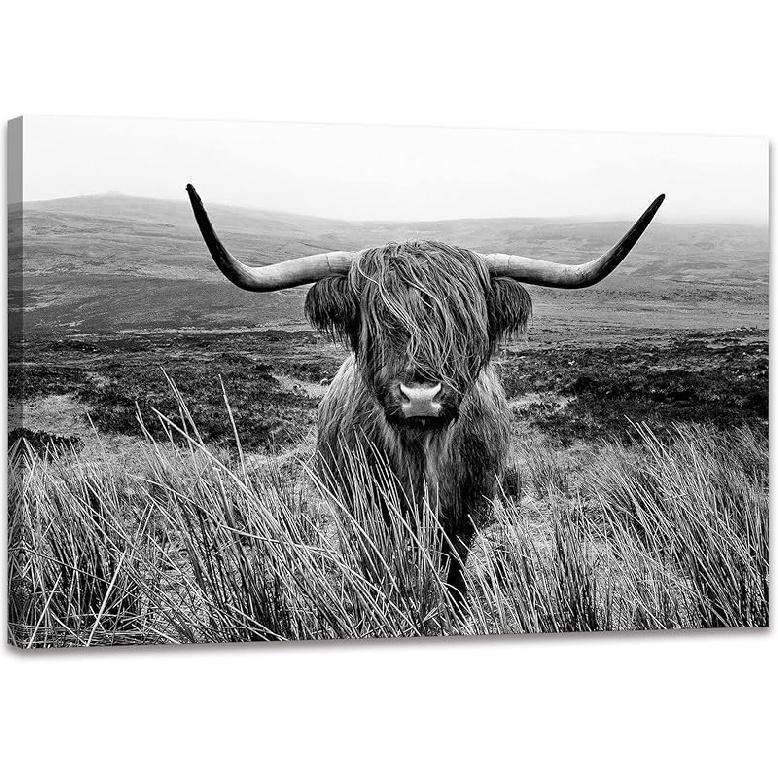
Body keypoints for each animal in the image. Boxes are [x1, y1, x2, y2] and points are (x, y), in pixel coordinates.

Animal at [186, 184, 664, 596]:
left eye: (465, 321)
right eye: (376, 320)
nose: (420, 397)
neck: (420, 450)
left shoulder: (466, 508)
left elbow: (453, 565)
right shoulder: (366, 510)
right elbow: (380, 563)